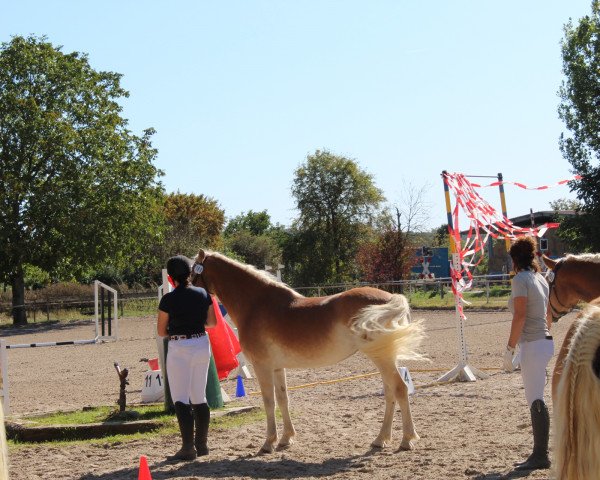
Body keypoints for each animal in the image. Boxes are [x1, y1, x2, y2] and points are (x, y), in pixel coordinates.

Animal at [190, 251, 424, 454]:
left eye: (193, 271)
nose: (188, 289)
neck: (256, 304)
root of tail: (390, 298)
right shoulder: (277, 368)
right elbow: (283, 399)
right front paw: (286, 439)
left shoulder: (262, 366)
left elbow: (269, 402)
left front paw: (268, 443)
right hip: (385, 358)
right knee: (390, 393)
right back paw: (380, 439)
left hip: (381, 357)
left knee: (400, 389)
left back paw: (406, 440)